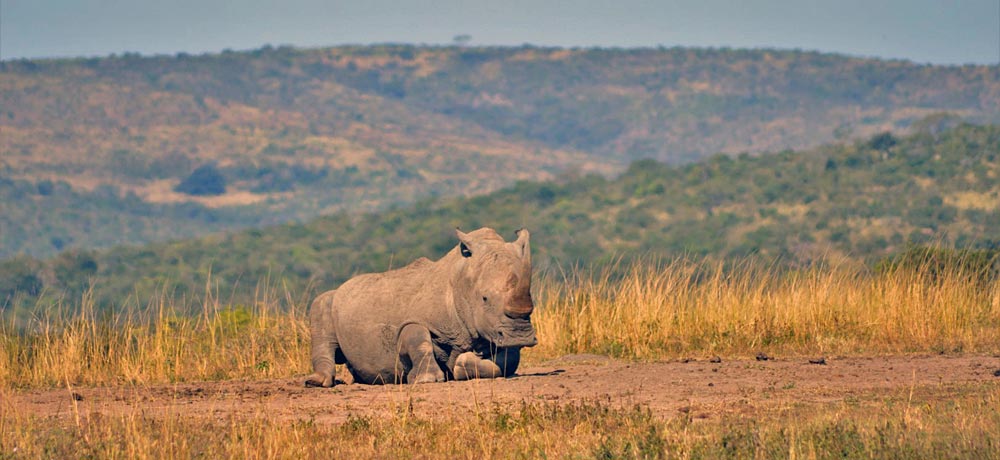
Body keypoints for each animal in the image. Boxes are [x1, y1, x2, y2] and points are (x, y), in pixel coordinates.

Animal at [305, 227, 537, 386]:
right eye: (485, 298)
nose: (521, 336)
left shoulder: (495, 329)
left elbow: (509, 359)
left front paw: (461, 365)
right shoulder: (415, 319)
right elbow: (417, 338)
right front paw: (426, 379)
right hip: (332, 299)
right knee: (321, 305)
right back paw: (317, 382)